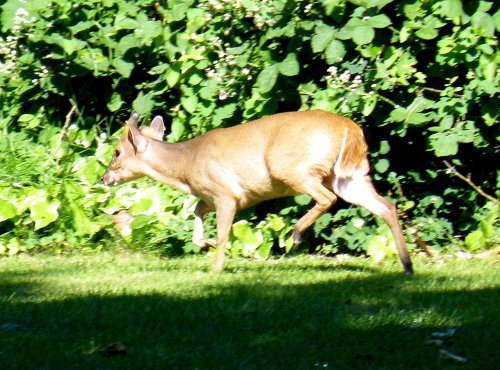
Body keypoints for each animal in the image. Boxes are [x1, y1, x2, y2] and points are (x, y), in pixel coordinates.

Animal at [101, 110, 414, 274]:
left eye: (116, 152)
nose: (104, 178)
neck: (186, 165)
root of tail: (350, 128)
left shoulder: (226, 195)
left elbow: (223, 232)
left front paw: (216, 268)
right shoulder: (215, 196)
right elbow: (197, 213)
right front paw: (204, 244)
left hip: (293, 169)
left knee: (328, 199)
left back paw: (296, 235)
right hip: (349, 176)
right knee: (386, 206)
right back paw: (407, 265)